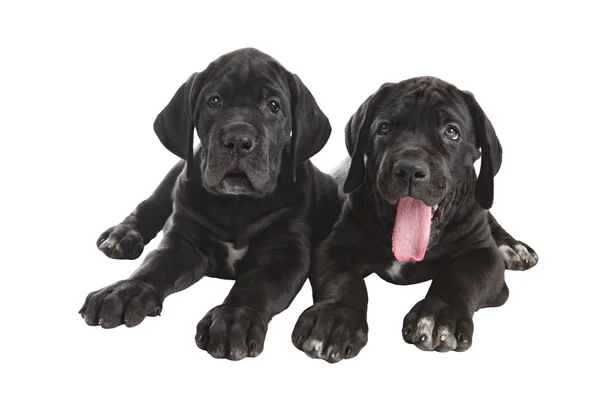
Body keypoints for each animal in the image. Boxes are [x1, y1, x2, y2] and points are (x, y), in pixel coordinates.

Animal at [79, 48, 342, 360]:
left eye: (273, 106)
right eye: (213, 101)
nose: (238, 141)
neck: (237, 205)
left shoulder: (286, 252)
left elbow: (256, 284)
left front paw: (233, 319)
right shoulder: (184, 241)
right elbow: (154, 265)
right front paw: (124, 291)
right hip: (179, 168)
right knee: (150, 204)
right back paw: (122, 236)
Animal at [292, 76, 540, 362]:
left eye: (451, 131)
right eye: (384, 128)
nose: (410, 169)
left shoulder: (482, 255)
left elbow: (461, 278)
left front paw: (437, 316)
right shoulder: (334, 246)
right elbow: (343, 280)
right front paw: (334, 318)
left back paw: (513, 247)